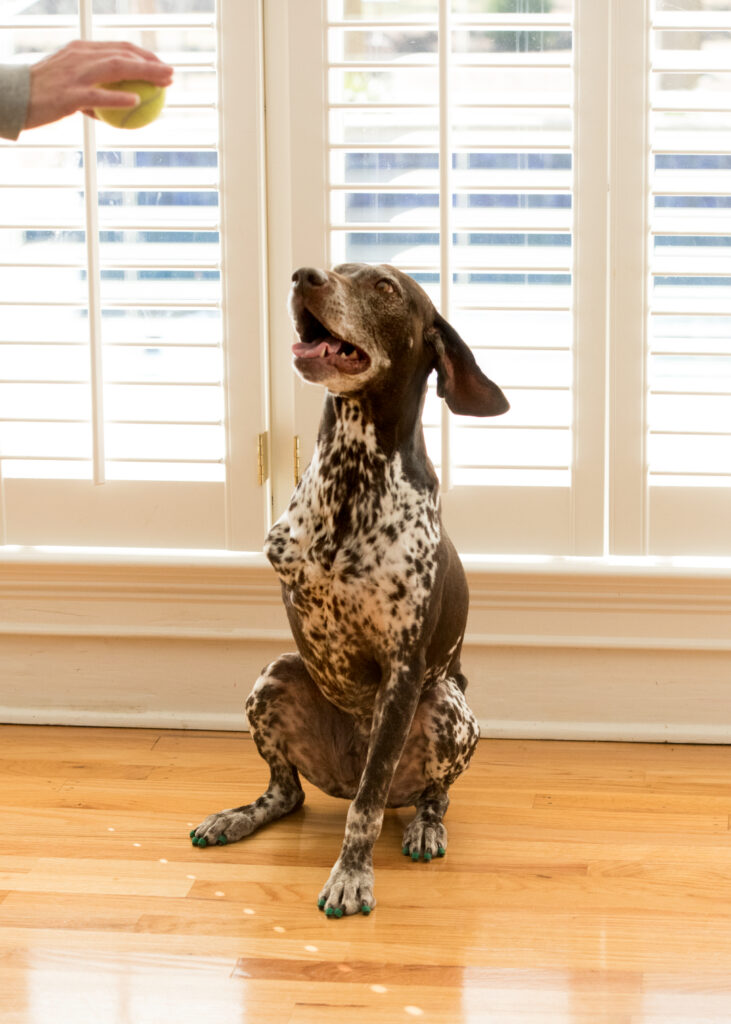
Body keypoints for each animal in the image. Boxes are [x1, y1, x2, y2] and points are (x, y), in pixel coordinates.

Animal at [190, 260, 507, 917]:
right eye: (338, 268)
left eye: (385, 287)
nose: (303, 276)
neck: (353, 474)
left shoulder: (404, 670)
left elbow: (364, 810)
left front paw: (351, 874)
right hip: (276, 674)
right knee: (286, 794)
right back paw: (238, 816)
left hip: (447, 706)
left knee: (423, 794)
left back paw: (424, 825)